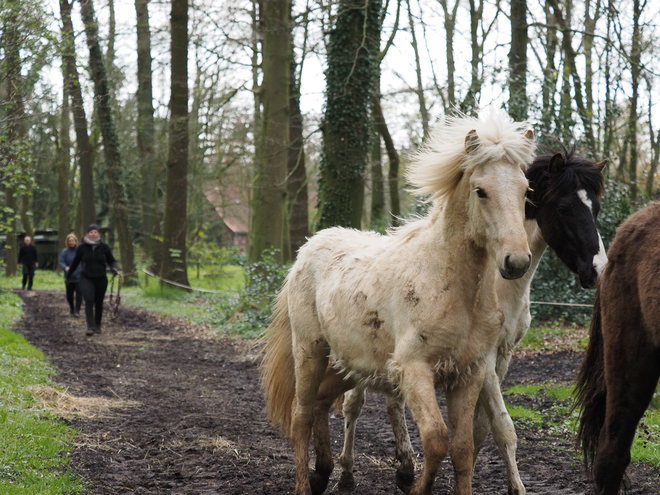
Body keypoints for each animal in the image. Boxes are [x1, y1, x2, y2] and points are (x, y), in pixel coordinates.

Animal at [260, 112, 536, 495]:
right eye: (481, 191)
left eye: (526, 191)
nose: (517, 262)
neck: (450, 285)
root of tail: (307, 249)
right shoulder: (414, 369)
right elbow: (436, 440)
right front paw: (414, 484)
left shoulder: (471, 373)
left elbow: (463, 449)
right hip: (310, 350)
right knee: (301, 414)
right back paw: (307, 483)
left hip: (350, 363)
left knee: (321, 403)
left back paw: (325, 473)